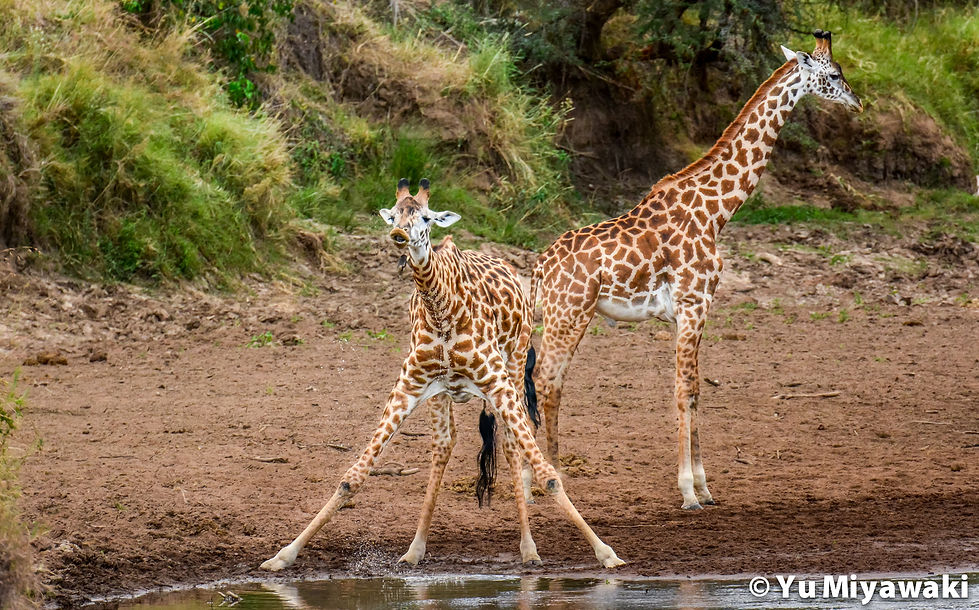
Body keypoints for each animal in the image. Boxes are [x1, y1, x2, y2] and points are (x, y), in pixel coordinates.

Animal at [261, 179, 624, 571]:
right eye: (393, 215)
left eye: (426, 217)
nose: (399, 236)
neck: (442, 311)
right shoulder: (409, 385)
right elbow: (352, 477)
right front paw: (283, 555)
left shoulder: (496, 382)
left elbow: (549, 475)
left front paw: (606, 553)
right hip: (442, 394)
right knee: (444, 444)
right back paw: (415, 548)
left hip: (513, 367)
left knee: (511, 444)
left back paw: (528, 548)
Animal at [531, 30, 862, 510]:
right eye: (834, 74)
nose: (857, 103)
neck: (716, 212)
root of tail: (540, 266)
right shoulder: (692, 303)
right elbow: (683, 389)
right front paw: (688, 490)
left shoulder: (692, 310)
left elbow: (697, 389)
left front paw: (705, 486)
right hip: (569, 314)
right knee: (546, 380)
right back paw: (548, 479)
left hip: (562, 317)